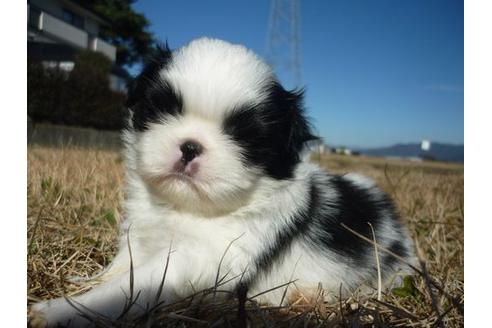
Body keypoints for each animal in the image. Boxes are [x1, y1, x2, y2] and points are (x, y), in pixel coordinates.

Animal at [31, 37, 416, 326]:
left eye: (242, 136)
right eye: (164, 110)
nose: (190, 146)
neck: (185, 209)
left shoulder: (201, 259)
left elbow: (129, 288)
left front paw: (60, 311)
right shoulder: (140, 236)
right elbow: (121, 269)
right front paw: (86, 283)